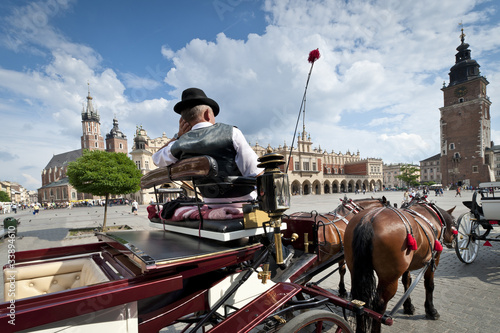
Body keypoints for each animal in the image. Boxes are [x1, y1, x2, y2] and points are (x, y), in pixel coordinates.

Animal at [346, 198, 456, 330]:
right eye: (455, 223)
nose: (454, 241)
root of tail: (368, 219)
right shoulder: (434, 258)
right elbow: (429, 285)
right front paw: (431, 310)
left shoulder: (407, 265)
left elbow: (406, 281)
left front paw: (408, 306)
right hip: (389, 278)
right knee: (379, 305)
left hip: (355, 270)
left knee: (359, 302)